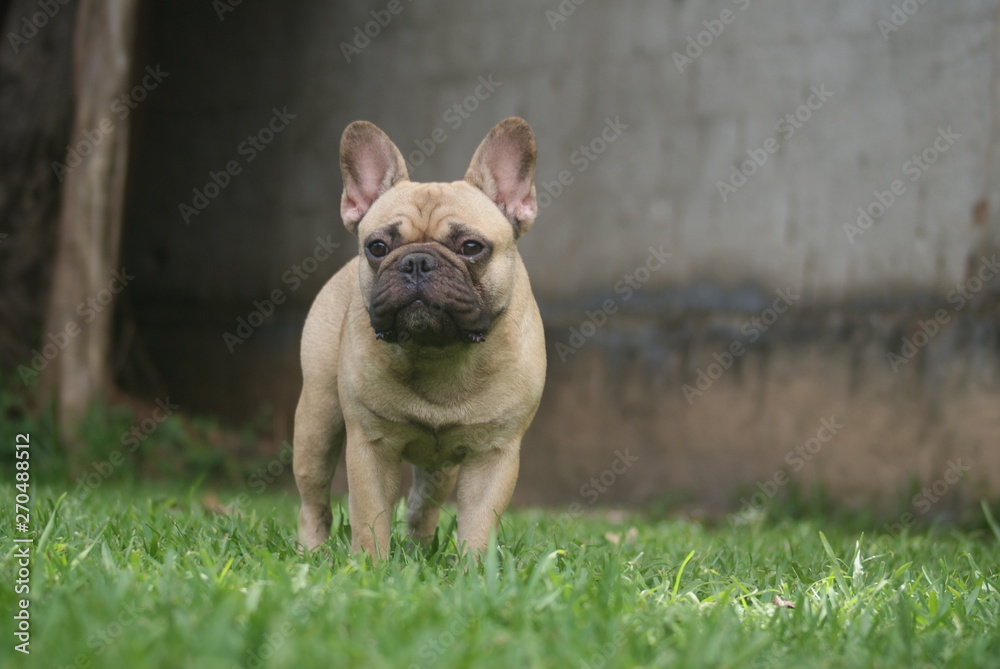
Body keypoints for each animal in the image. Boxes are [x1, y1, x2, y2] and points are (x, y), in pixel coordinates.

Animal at [292, 116, 548, 560]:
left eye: (471, 247)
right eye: (377, 247)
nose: (416, 262)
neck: (439, 353)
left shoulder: (493, 454)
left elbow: (477, 525)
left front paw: (473, 570)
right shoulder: (370, 448)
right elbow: (370, 519)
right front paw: (370, 567)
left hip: (440, 468)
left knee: (421, 505)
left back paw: (420, 552)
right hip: (316, 421)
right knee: (313, 498)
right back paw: (313, 551)